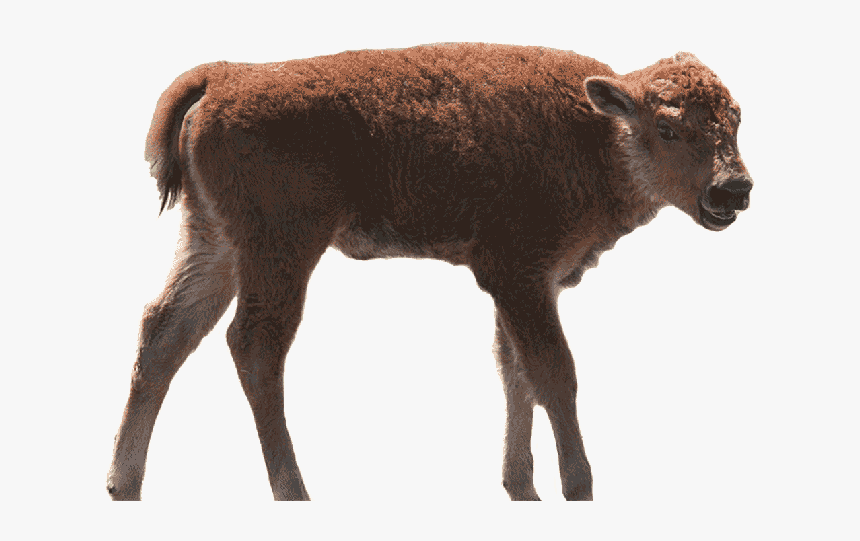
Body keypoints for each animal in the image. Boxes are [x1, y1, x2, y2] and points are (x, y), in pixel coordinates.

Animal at [107, 42, 752, 501]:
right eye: (667, 128)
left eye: (736, 120)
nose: (734, 189)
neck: (597, 130)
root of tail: (226, 75)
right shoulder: (519, 277)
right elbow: (554, 375)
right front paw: (578, 486)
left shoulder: (522, 288)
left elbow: (515, 374)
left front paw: (522, 487)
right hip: (282, 251)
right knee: (254, 344)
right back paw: (294, 490)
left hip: (215, 242)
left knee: (165, 333)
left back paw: (124, 485)